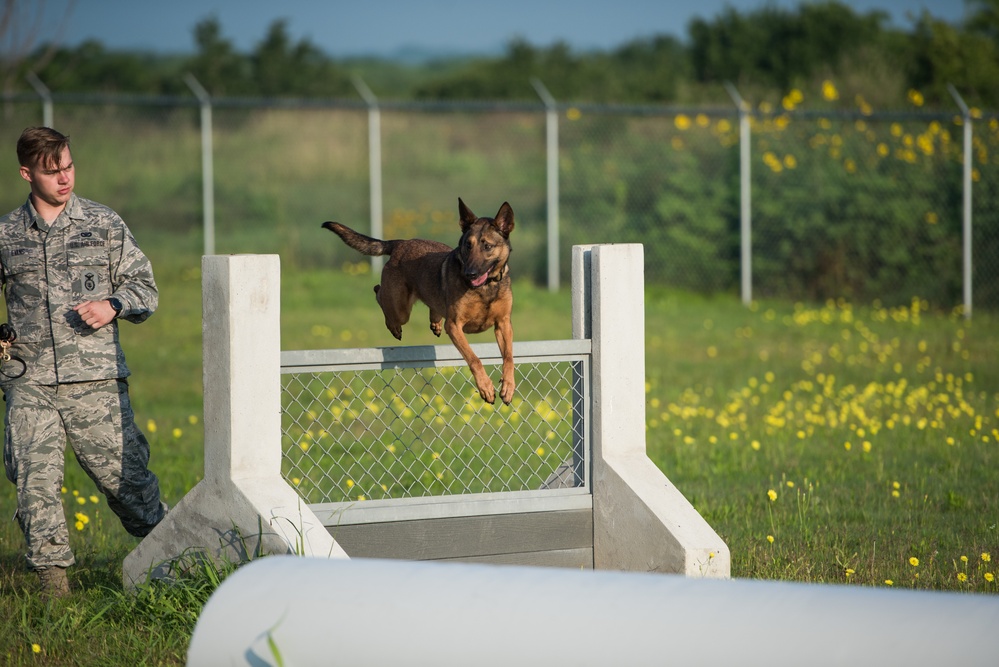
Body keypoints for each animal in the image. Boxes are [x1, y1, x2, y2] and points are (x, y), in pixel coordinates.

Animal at [324, 198, 520, 404]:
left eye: (487, 246)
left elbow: (509, 357)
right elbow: (474, 359)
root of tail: (400, 244)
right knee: (378, 293)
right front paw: (486, 387)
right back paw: (394, 326)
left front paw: (508, 386)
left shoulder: (503, 324)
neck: (486, 287)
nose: (469, 273)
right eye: (468, 245)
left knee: (430, 305)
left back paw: (435, 322)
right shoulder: (455, 326)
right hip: (400, 308)